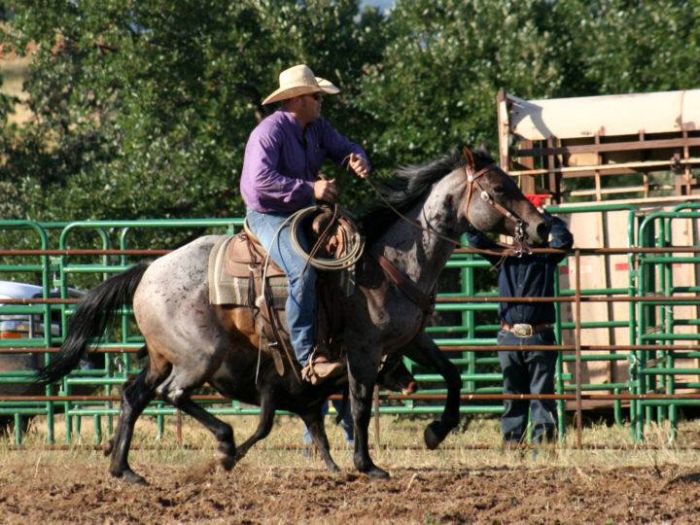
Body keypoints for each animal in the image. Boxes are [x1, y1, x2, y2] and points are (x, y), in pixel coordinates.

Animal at [38, 145, 548, 482]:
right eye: (499, 187)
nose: (542, 227)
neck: (393, 259)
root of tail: (149, 270)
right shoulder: (364, 349)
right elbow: (359, 405)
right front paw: (367, 465)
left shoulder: (410, 340)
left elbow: (453, 377)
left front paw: (435, 433)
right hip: (200, 356)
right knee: (173, 394)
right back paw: (224, 444)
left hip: (165, 355)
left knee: (134, 396)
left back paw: (124, 471)